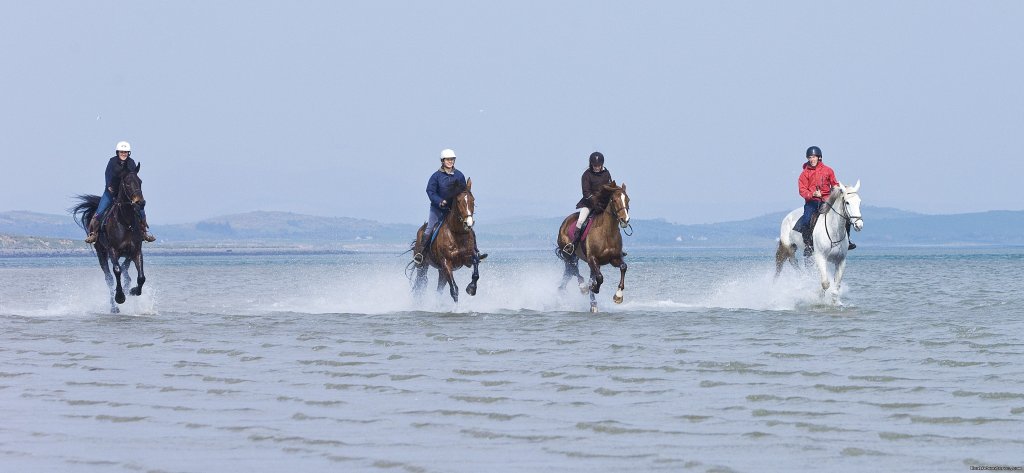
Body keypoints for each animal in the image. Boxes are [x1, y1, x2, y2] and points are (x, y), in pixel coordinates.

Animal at [73, 162, 149, 313]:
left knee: (126, 271)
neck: (126, 222)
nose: (140, 203)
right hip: (101, 254)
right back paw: (114, 307)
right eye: (127, 183)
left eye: (140, 181)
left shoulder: (136, 251)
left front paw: (133, 291)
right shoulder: (113, 250)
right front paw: (120, 297)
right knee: (109, 278)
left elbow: (141, 277)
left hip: (126, 254)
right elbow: (117, 271)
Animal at [557, 180, 626, 311]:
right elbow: (599, 278)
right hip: (568, 254)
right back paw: (583, 287)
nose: (625, 220)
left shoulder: (614, 258)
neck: (607, 232)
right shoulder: (592, 258)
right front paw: (594, 287)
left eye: (628, 199)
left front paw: (618, 296)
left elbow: (623, 267)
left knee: (570, 272)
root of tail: (565, 222)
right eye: (614, 200)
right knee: (574, 268)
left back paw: (592, 304)